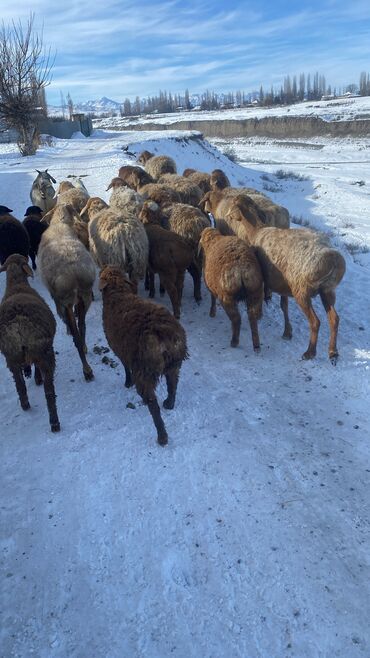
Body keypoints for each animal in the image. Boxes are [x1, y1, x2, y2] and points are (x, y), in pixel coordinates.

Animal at [99, 266, 189, 446]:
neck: (118, 293)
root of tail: (164, 333)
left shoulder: (120, 348)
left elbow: (125, 366)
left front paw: (128, 383)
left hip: (145, 371)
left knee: (153, 405)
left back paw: (162, 436)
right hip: (174, 364)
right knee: (173, 385)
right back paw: (169, 404)